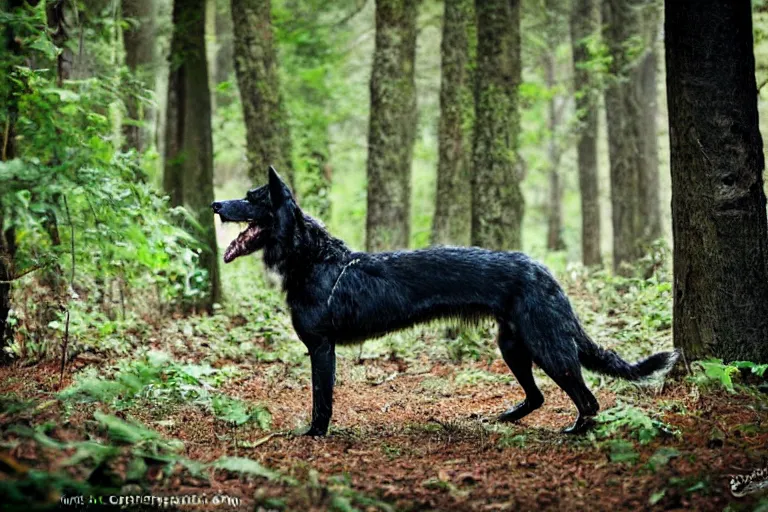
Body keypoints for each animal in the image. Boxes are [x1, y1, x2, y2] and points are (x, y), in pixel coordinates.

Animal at [212, 167, 680, 436]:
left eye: (252, 198)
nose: (216, 203)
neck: (314, 259)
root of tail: (545, 272)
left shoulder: (322, 349)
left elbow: (321, 401)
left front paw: (314, 436)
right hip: (513, 345)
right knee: (537, 397)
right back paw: (507, 418)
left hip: (547, 347)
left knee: (588, 400)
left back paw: (576, 431)